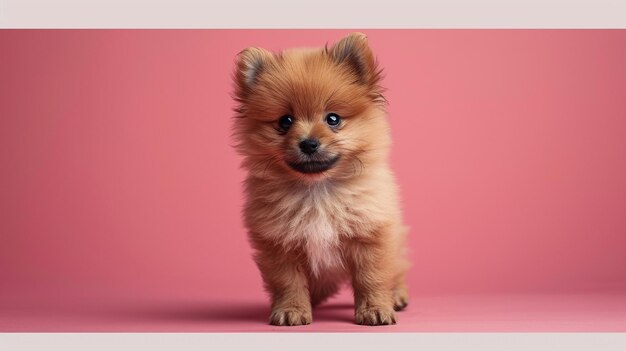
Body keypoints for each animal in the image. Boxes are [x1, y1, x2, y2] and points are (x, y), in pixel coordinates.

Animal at [232, 33, 408, 328]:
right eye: (285, 121)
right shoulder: (279, 245)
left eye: (333, 119)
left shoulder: (370, 235)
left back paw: (397, 295)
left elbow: (371, 277)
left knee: (396, 269)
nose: (308, 143)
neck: (317, 191)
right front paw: (291, 309)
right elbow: (288, 282)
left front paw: (374, 309)